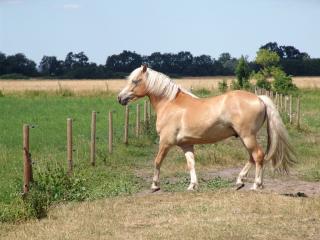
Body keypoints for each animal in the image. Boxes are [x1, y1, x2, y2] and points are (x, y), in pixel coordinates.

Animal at [117, 64, 296, 191]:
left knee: (258, 156)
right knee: (253, 157)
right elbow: (191, 163)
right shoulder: (186, 144)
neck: (170, 103)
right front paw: (192, 185)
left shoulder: (165, 142)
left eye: (135, 81)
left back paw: (256, 184)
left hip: (248, 136)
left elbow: (157, 161)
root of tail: (259, 98)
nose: (120, 98)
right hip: (245, 137)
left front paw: (155, 185)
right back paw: (240, 181)